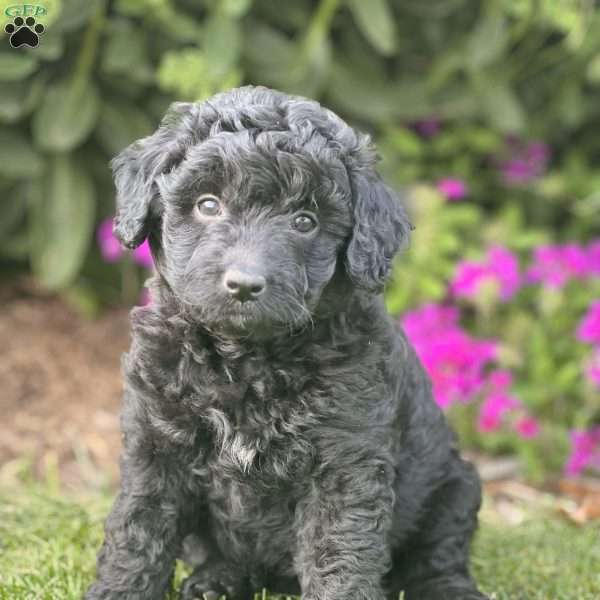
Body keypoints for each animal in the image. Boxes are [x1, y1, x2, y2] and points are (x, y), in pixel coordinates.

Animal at [84, 85, 488, 600]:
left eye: (305, 221)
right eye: (208, 204)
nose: (244, 284)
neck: (244, 361)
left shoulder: (345, 462)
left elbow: (340, 555)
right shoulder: (156, 443)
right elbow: (138, 532)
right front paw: (118, 590)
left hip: (456, 485)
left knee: (439, 554)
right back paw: (217, 581)